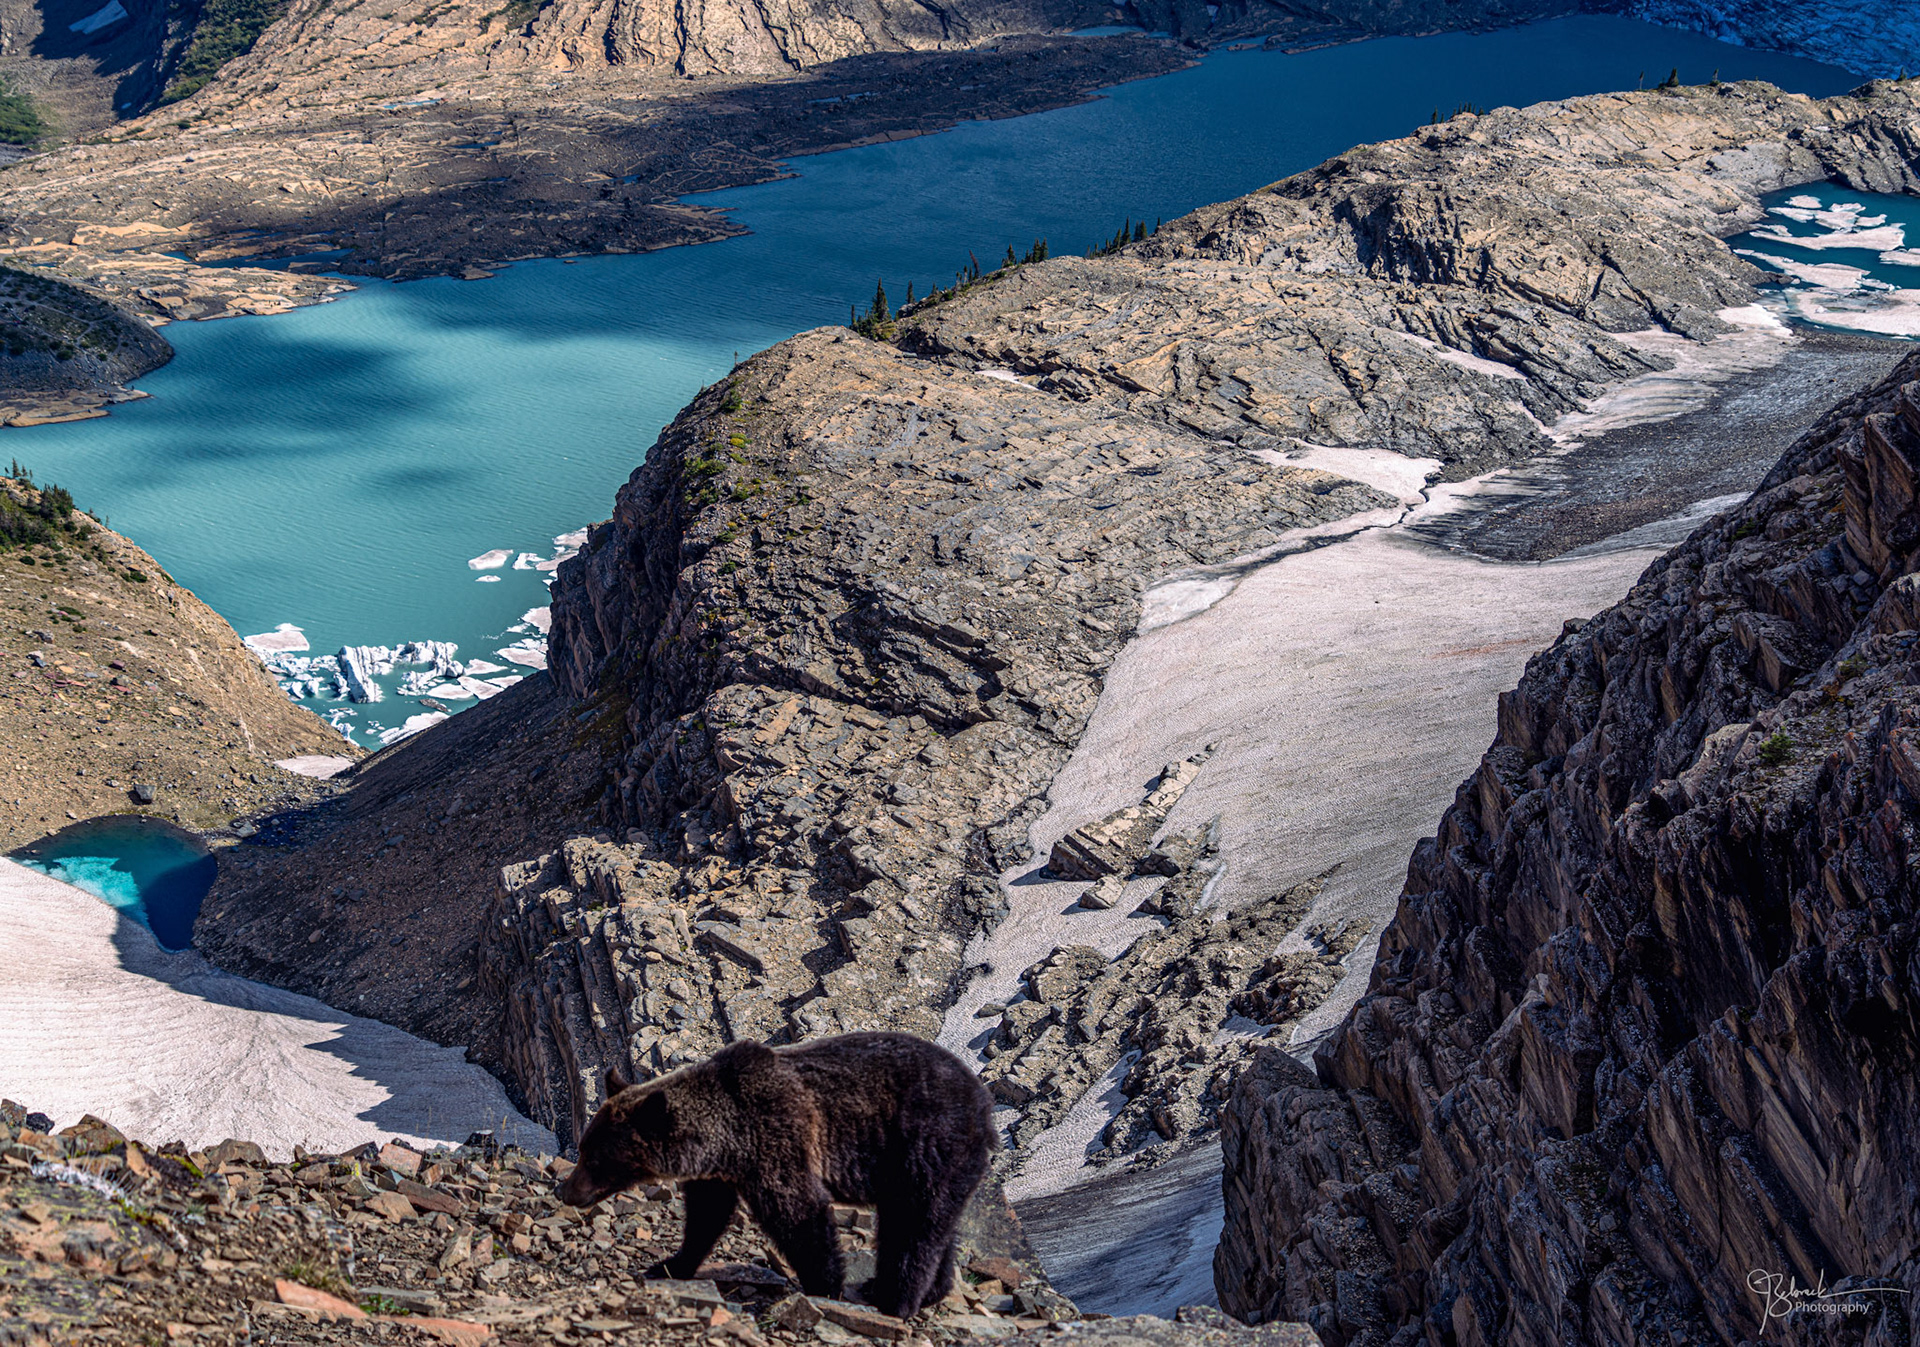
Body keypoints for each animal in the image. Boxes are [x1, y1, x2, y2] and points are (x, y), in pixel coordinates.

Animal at [557, 1031, 996, 1319]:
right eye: (582, 1148)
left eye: (594, 1159)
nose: (566, 1191)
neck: (727, 1137)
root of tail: (983, 1102)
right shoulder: (719, 1174)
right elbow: (705, 1218)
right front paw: (670, 1265)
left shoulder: (777, 1137)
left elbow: (800, 1214)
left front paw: (823, 1286)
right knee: (934, 1226)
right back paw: (927, 1290)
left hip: (923, 1145)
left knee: (913, 1225)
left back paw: (894, 1300)